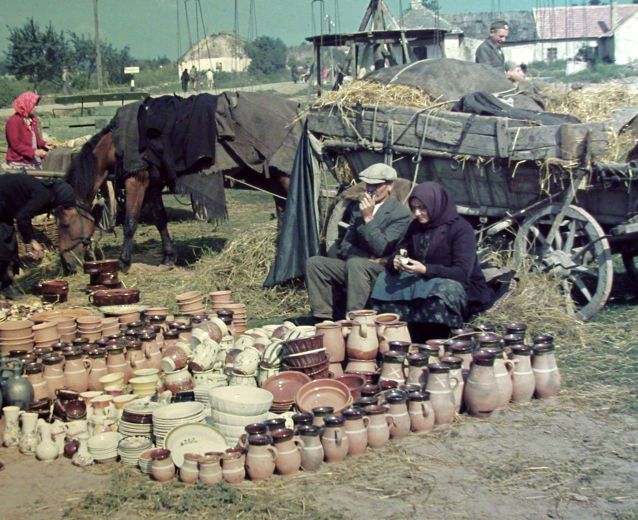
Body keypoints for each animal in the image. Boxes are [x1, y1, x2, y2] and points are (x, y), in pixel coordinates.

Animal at [57, 126, 292, 274]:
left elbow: (130, 223)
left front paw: (123, 262)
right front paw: (168, 258)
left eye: (65, 224)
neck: (117, 145)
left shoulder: (136, 182)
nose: (66, 265)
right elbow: (160, 220)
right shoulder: (152, 186)